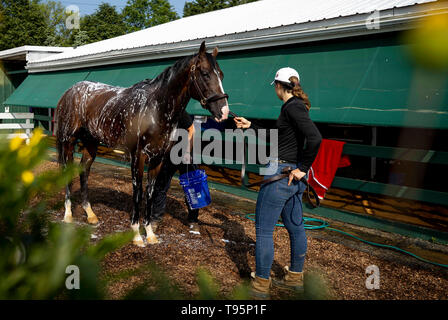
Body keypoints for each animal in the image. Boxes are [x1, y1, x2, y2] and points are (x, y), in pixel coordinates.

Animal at [56, 42, 229, 248]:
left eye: (221, 74)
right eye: (204, 73)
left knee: (84, 172)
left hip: (91, 144)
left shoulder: (157, 159)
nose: (224, 112)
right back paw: (68, 214)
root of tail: (71, 91)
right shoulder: (138, 157)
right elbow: (138, 191)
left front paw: (150, 233)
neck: (155, 108)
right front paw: (137, 235)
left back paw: (90, 215)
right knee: (67, 171)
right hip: (68, 141)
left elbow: (150, 192)